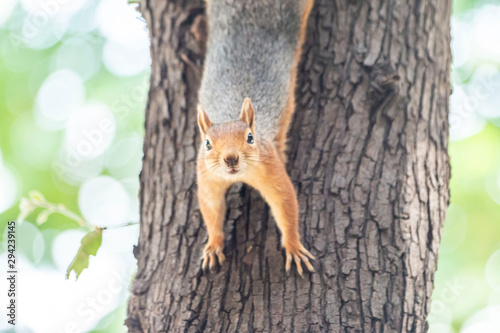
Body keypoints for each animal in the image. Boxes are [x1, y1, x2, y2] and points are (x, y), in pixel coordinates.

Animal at [195, 0, 312, 274]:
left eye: (250, 138)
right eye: (207, 144)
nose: (230, 159)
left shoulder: (271, 167)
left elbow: (285, 202)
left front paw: (294, 246)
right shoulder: (206, 177)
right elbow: (211, 208)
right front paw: (213, 245)